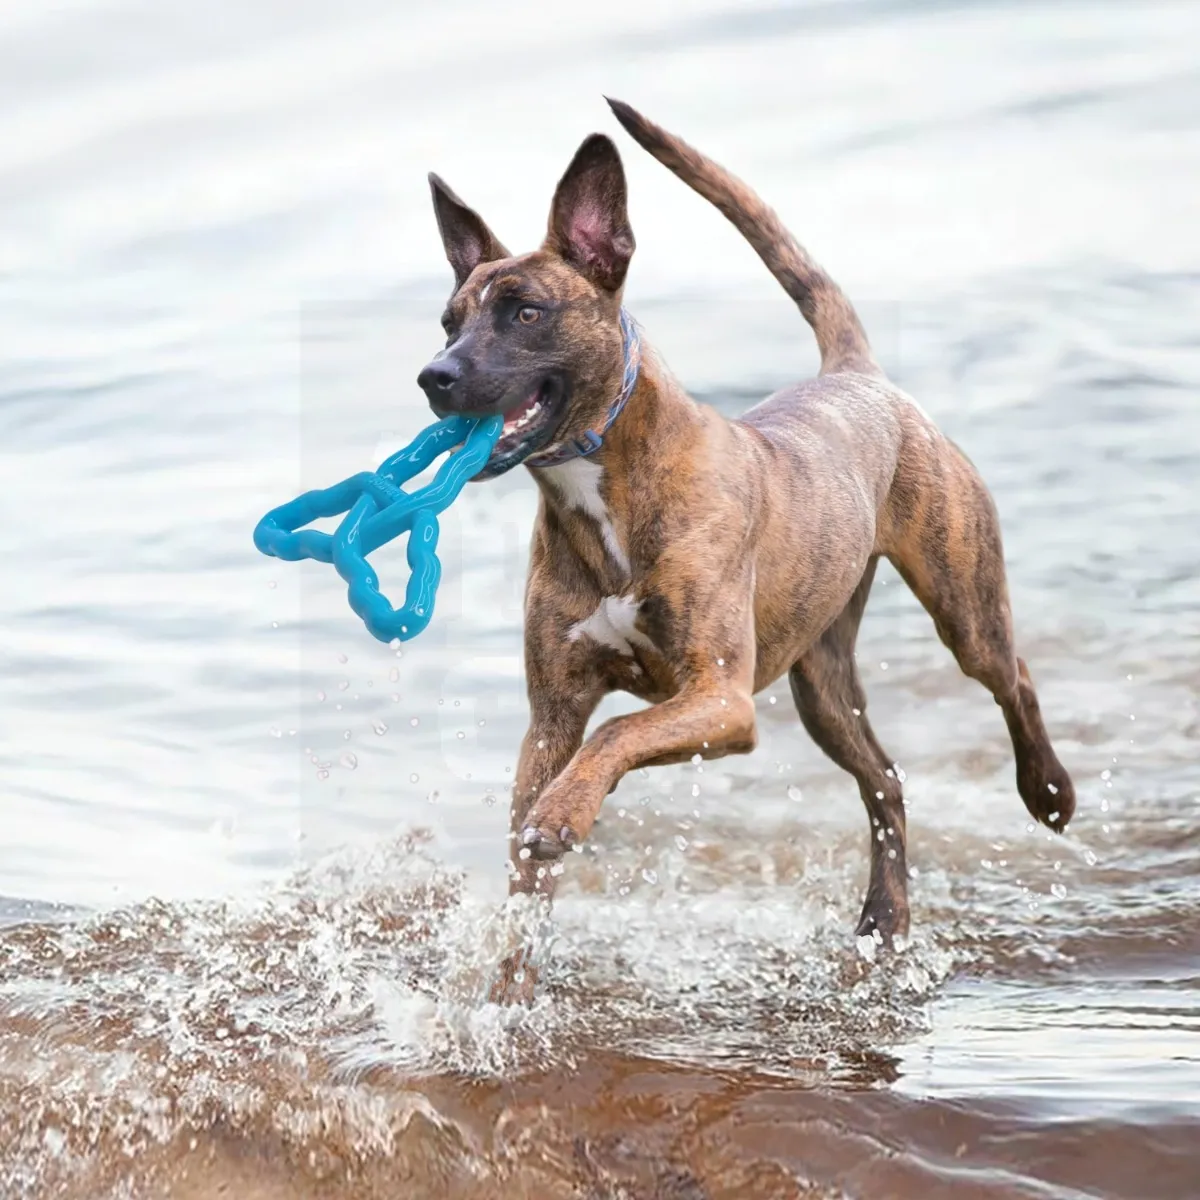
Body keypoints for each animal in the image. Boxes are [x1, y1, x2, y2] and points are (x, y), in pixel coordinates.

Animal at [417, 100, 1075, 1003]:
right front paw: (506, 991)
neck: (608, 490)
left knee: (1013, 677)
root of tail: (856, 373)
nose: (434, 377)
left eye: (525, 313)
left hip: (961, 597)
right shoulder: (551, 718)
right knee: (885, 781)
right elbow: (529, 868)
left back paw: (1048, 791)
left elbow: (613, 736)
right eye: (450, 321)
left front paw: (564, 813)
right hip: (821, 685)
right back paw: (884, 920)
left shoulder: (719, 700)